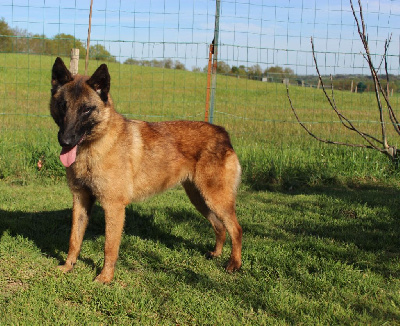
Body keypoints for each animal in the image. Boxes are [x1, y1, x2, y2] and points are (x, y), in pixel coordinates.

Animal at [50, 57, 244, 284]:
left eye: (86, 109)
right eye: (63, 106)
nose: (65, 141)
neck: (95, 145)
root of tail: (222, 133)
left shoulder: (114, 207)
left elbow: (109, 248)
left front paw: (105, 278)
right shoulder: (81, 200)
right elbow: (74, 239)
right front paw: (68, 266)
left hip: (216, 200)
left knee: (236, 229)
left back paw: (234, 264)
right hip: (200, 199)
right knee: (220, 226)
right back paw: (216, 254)